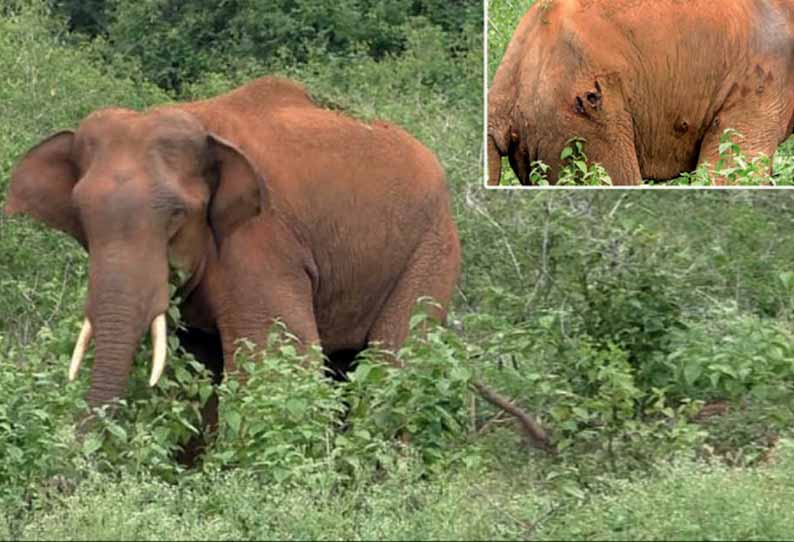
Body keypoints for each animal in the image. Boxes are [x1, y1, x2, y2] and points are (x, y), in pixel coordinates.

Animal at [4, 76, 458, 418]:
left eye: (176, 214)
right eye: (81, 215)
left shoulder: (261, 239)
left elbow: (276, 355)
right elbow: (193, 369)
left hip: (432, 246)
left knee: (396, 360)